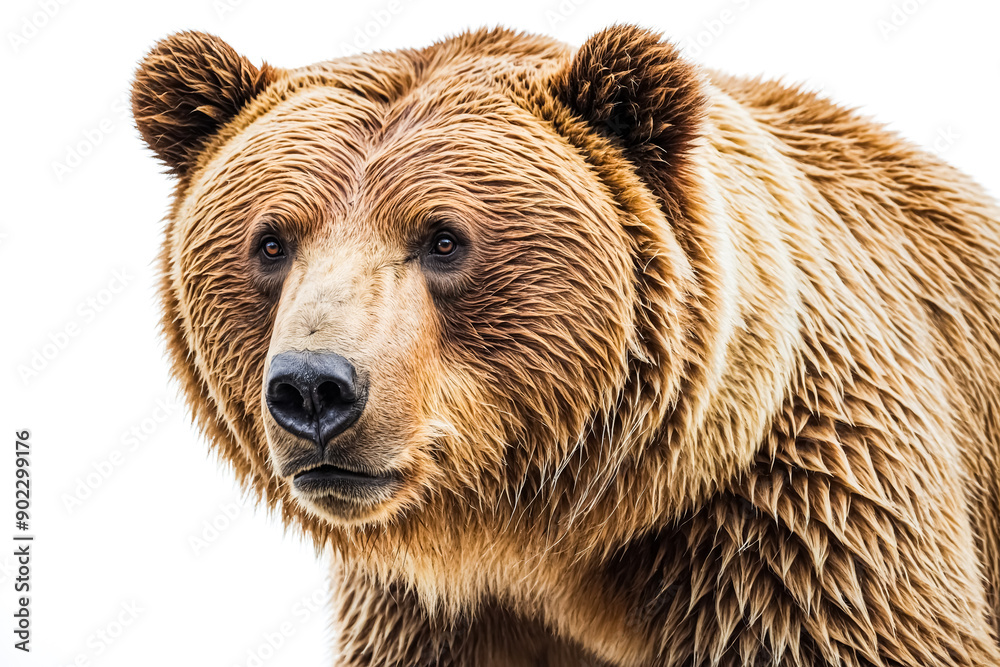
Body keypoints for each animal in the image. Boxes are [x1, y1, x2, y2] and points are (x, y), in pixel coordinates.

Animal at [131, 25, 1000, 666]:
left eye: (443, 239)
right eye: (272, 242)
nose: (314, 387)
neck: (545, 543)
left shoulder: (799, 528)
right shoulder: (431, 614)